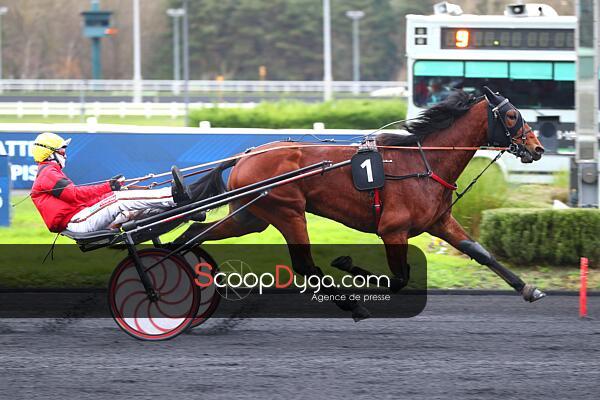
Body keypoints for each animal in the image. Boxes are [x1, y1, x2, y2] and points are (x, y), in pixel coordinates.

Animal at [176, 87, 547, 320]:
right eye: (511, 116)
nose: (538, 147)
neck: (424, 161)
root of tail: (246, 154)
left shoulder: (439, 221)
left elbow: (480, 252)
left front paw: (528, 288)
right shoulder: (393, 230)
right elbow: (399, 278)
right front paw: (346, 262)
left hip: (251, 216)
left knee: (193, 234)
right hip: (287, 212)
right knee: (306, 266)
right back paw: (353, 306)